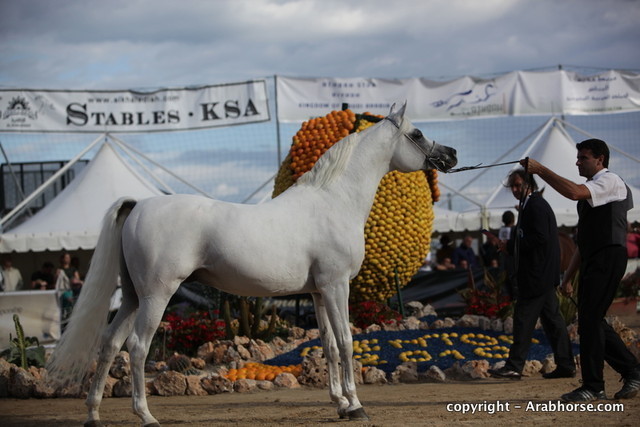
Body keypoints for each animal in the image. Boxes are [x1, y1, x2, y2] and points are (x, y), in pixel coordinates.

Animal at [45, 103, 458, 426]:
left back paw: (93, 414)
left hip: (132, 297)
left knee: (110, 344)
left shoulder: (318, 292)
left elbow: (326, 344)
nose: (452, 155)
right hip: (156, 296)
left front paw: (339, 403)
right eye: (417, 133)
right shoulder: (337, 285)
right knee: (137, 346)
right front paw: (355, 405)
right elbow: (345, 341)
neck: (334, 201)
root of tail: (139, 204)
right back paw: (145, 415)